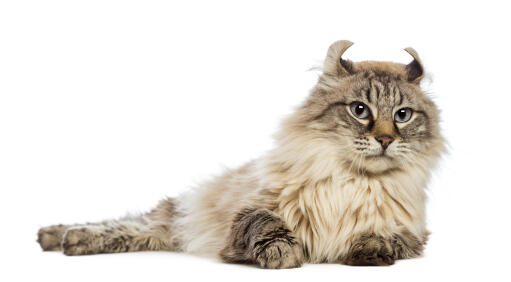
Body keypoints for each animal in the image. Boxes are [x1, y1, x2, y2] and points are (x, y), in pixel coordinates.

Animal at [37, 40, 444, 268]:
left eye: (402, 116)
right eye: (360, 110)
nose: (386, 140)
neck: (352, 183)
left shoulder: (414, 233)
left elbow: (384, 236)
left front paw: (369, 250)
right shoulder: (249, 213)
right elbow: (266, 224)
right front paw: (283, 254)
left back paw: (60, 239)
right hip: (177, 213)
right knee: (129, 223)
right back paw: (62, 236)